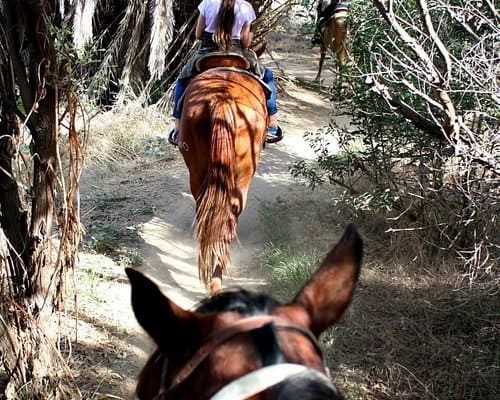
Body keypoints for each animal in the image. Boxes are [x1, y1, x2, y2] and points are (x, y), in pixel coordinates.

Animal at [178, 53, 268, 292]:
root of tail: (222, 99)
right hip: (243, 174)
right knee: (229, 215)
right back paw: (215, 279)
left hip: (197, 168)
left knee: (206, 210)